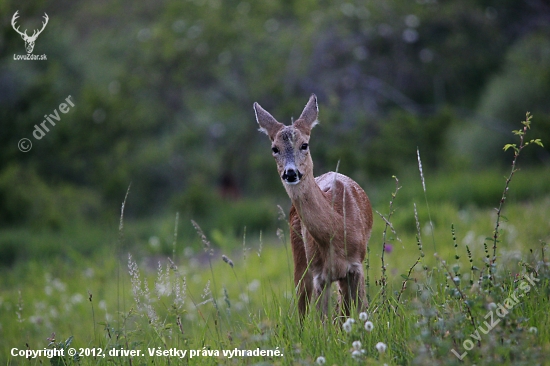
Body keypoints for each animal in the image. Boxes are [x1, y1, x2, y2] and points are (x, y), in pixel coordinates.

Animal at [256, 94, 376, 320]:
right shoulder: (320, 275)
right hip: (300, 258)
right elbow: (323, 323)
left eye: (304, 145)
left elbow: (361, 311)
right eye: (274, 148)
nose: (290, 172)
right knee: (303, 308)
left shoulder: (357, 265)